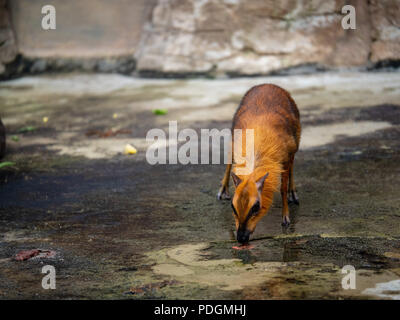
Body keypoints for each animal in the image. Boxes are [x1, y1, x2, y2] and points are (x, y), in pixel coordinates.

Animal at [219, 84, 300, 244]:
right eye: (233, 206)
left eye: (256, 207)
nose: (241, 238)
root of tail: (267, 84)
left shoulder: (287, 155)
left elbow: (282, 188)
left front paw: (286, 218)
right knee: (229, 159)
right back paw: (222, 190)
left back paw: (293, 194)